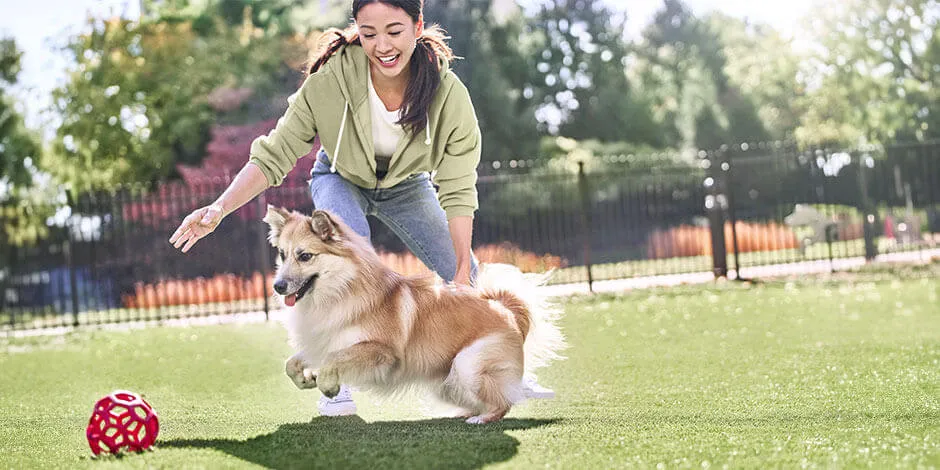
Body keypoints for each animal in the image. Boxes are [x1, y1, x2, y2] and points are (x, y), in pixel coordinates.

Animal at [262, 207, 564, 424]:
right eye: (282, 255)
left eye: (305, 256)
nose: (277, 286)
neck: (339, 292)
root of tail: (506, 309)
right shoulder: (323, 340)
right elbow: (292, 363)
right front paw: (304, 379)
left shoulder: (381, 352)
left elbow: (333, 360)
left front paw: (328, 386)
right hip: (447, 380)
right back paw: (465, 413)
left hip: (468, 365)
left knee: (504, 401)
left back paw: (482, 418)